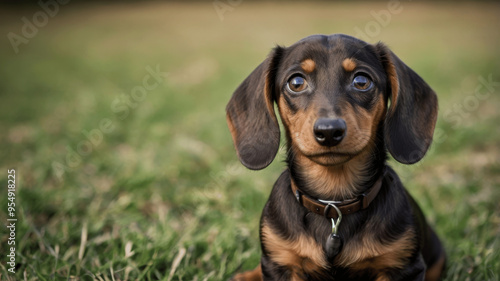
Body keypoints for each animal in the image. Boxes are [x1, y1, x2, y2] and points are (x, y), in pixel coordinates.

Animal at [227, 34, 446, 278]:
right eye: (296, 82)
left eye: (361, 81)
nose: (329, 131)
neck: (333, 203)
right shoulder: (280, 264)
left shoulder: (403, 267)